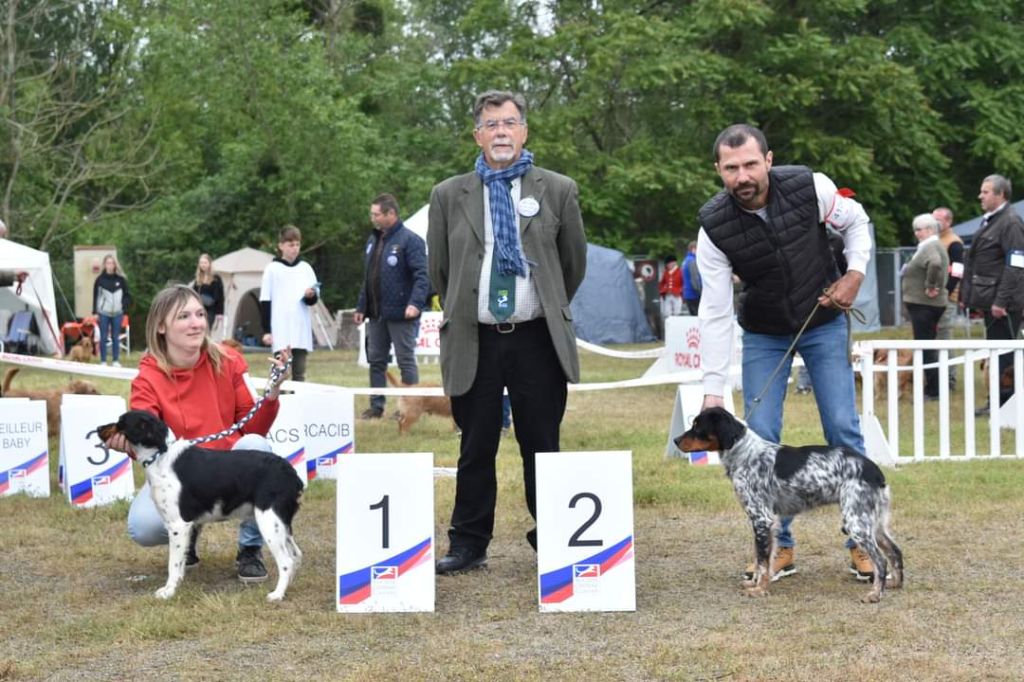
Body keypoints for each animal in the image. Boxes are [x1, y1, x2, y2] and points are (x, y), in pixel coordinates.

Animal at [95, 405, 303, 598]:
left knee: (287, 561)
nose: (97, 428)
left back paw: (277, 595)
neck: (160, 456)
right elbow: (179, 564)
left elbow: (173, 563)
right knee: (296, 555)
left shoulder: (178, 525)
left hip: (269, 520)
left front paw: (168, 591)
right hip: (282, 522)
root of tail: (289, 471)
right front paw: (177, 584)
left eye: (121, 422)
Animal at [679, 403, 905, 602]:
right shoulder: (768, 522)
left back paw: (875, 594)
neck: (745, 454)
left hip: (856, 522)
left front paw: (759, 590)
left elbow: (763, 562)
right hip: (873, 522)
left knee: (881, 560)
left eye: (698, 425)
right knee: (895, 551)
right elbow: (762, 559)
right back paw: (895, 584)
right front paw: (756, 583)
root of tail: (874, 471)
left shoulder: (761, 518)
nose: (675, 440)